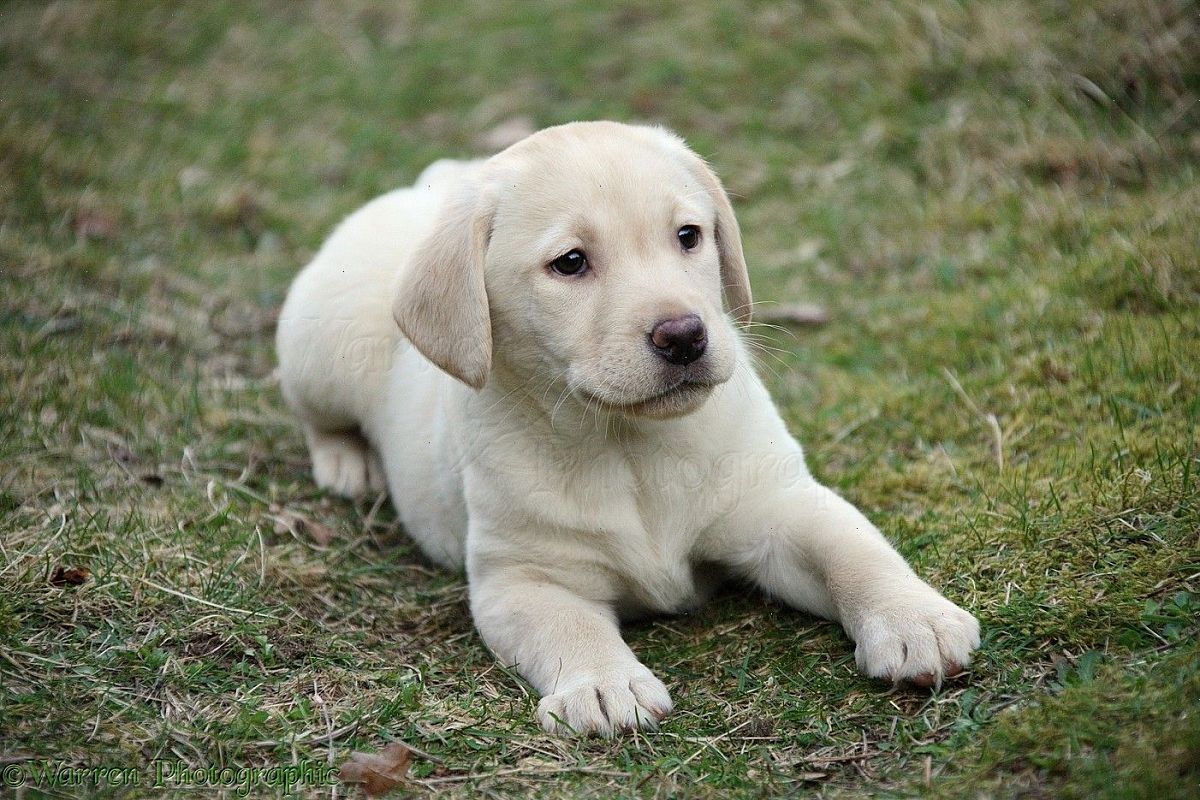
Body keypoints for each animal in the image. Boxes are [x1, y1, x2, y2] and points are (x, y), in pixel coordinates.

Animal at [276, 122, 979, 743]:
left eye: (689, 236)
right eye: (570, 262)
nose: (685, 335)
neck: (628, 443)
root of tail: (433, 186)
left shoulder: (778, 507)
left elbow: (855, 551)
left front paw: (914, 619)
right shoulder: (524, 577)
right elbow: (569, 629)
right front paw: (601, 684)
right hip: (319, 350)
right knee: (314, 414)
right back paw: (348, 464)